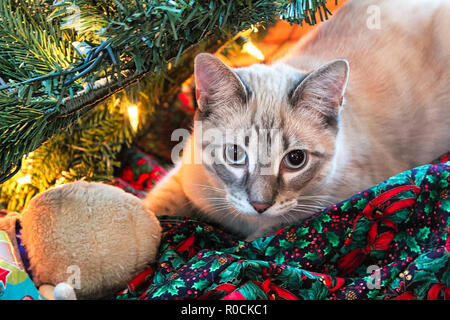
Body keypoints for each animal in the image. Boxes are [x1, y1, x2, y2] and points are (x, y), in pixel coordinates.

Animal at [144, 0, 450, 240]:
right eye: (235, 155)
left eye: (295, 160)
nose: (259, 205)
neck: (243, 223)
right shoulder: (184, 180)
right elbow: (153, 209)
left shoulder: (331, 201)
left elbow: (259, 239)